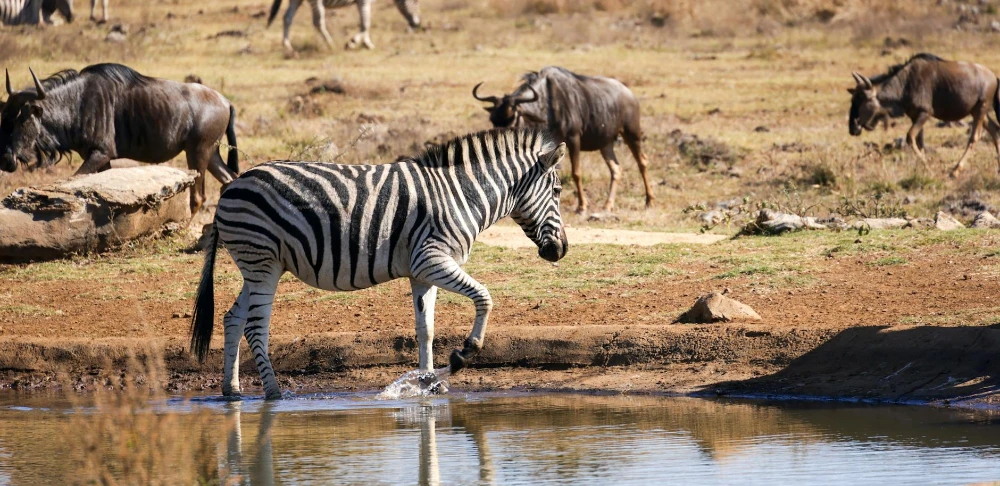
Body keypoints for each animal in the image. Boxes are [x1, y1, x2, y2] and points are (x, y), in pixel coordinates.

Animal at [190, 127, 569, 399]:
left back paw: (232, 391)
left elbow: (425, 330)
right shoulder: (432, 259)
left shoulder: (422, 272)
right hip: (262, 262)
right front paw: (463, 353)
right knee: (255, 327)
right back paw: (273, 393)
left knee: (232, 318)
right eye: (558, 191)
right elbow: (484, 297)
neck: (462, 195)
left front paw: (428, 383)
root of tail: (231, 187)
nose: (561, 251)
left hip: (257, 265)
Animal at [267, 0, 420, 54]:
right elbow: (366, 23)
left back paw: (287, 45)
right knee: (318, 21)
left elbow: (365, 23)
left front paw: (367, 44)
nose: (417, 24)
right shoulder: (364, 1)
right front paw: (352, 43)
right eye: (415, 1)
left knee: (287, 17)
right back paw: (330, 44)